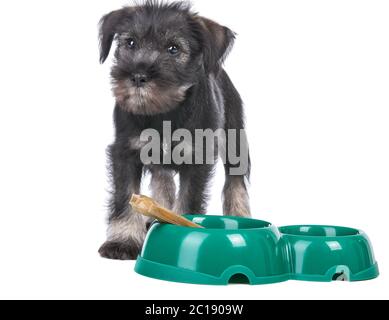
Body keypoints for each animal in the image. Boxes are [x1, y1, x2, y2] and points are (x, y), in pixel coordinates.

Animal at [98, 0, 250, 260]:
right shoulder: (125, 152)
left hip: (234, 145)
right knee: (163, 182)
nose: (137, 76)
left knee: (236, 184)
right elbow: (124, 197)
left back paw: (241, 218)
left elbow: (188, 200)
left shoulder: (197, 159)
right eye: (130, 43)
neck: (164, 113)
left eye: (173, 49)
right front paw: (123, 241)